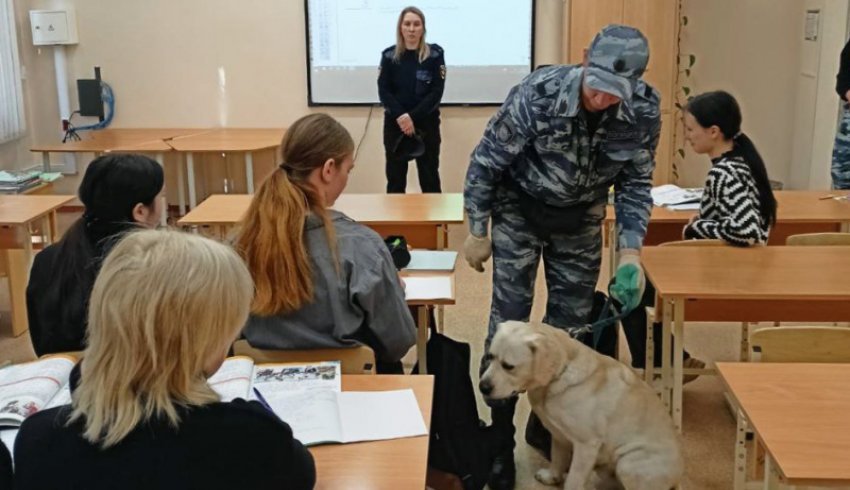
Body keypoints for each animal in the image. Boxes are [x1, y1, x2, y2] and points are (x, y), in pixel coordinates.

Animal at [476, 322, 684, 490]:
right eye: (490, 356)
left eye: (508, 366)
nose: (482, 387)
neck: (558, 375)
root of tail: (677, 480)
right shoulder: (558, 435)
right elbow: (557, 459)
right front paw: (552, 477)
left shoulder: (586, 445)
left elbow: (573, 480)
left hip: (628, 463)